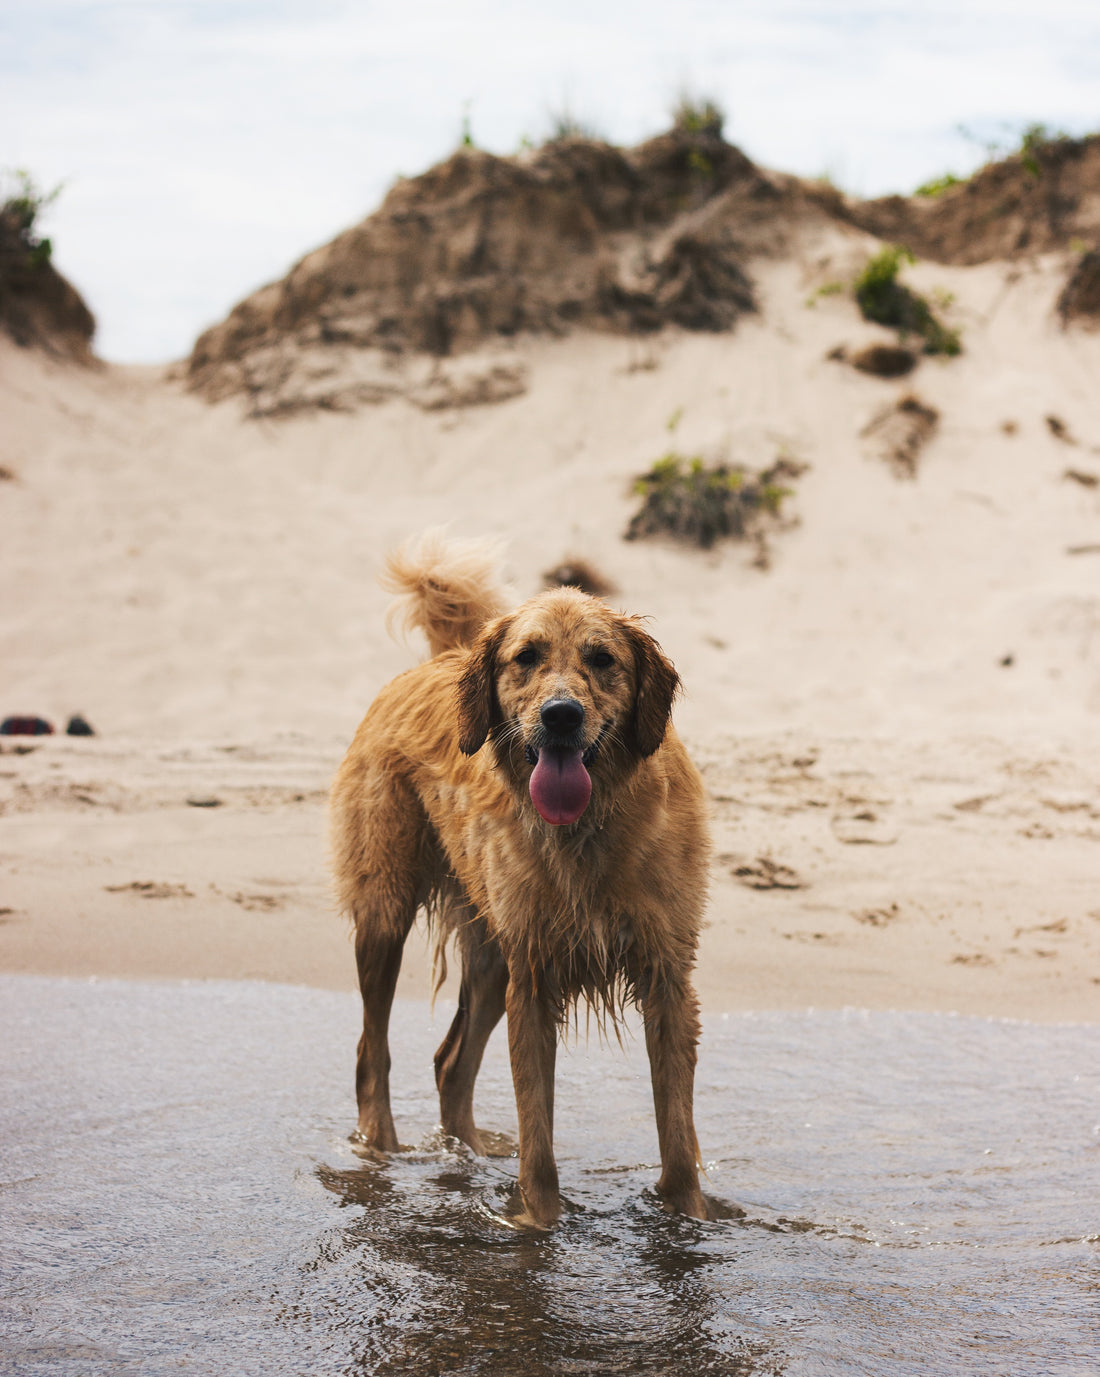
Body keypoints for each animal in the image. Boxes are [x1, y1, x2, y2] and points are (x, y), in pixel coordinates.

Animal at [331, 537, 710, 1228]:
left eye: (602, 658)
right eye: (526, 657)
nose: (561, 716)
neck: (587, 831)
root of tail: (444, 657)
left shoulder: (666, 976)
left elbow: (677, 1135)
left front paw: (688, 1219)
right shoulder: (533, 978)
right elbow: (538, 1134)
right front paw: (537, 1224)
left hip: (490, 953)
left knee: (450, 1063)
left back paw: (468, 1155)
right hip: (386, 913)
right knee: (373, 1051)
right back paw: (382, 1156)